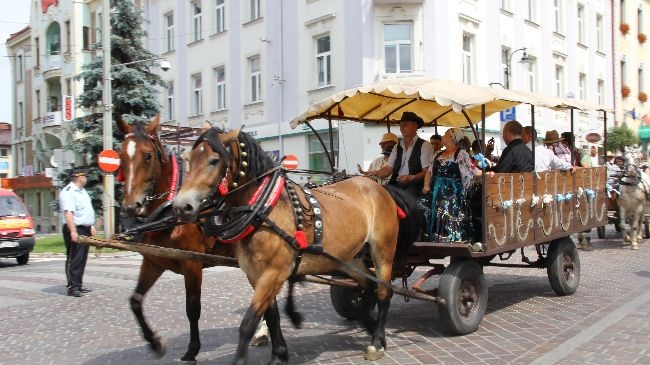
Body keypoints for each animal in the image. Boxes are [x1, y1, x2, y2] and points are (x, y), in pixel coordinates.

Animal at [115, 115, 237, 362]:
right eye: (121, 155)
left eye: (148, 155)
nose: (131, 207)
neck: (169, 210)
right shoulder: (153, 261)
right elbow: (136, 300)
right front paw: (155, 342)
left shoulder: (192, 263)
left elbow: (192, 307)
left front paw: (192, 349)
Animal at [170, 126, 418, 362]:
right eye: (188, 159)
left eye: (214, 160)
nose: (181, 206)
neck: (262, 209)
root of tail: (381, 188)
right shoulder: (256, 275)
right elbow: (271, 316)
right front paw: (279, 353)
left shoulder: (274, 272)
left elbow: (248, 323)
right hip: (350, 258)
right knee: (367, 286)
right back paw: (370, 326)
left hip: (383, 250)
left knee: (384, 291)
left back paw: (376, 341)